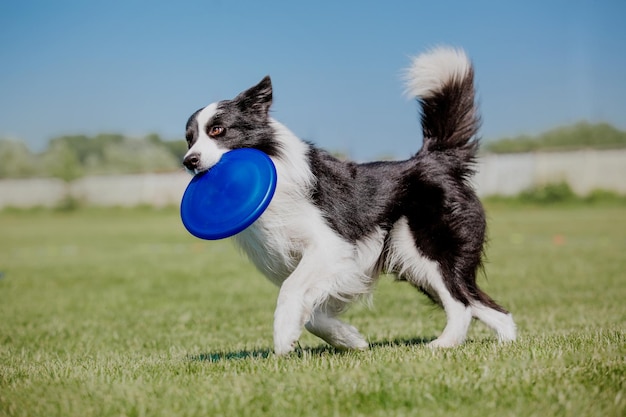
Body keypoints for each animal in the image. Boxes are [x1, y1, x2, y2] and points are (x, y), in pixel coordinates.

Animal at [183, 46, 516, 354]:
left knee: (461, 303)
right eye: (189, 138)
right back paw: (507, 344)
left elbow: (292, 289)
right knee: (485, 305)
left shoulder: (331, 246)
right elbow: (313, 314)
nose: (189, 161)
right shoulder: (324, 263)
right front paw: (348, 338)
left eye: (218, 130)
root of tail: (434, 160)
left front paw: (283, 337)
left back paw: (443, 344)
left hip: (422, 249)